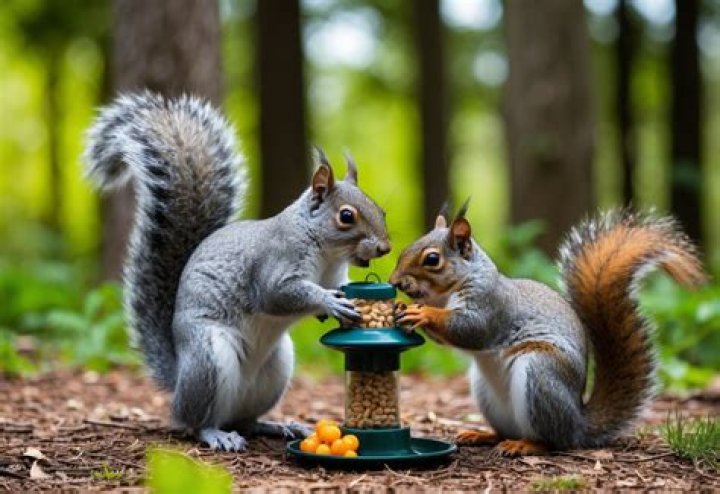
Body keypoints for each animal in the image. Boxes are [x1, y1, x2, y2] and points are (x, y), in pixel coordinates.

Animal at [84, 91, 391, 451]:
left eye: (380, 210)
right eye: (346, 216)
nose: (385, 248)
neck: (328, 254)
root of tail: (178, 378)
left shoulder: (335, 274)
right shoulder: (275, 264)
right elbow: (278, 295)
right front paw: (329, 302)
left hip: (275, 369)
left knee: (246, 420)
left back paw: (277, 426)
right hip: (208, 359)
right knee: (196, 421)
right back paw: (215, 434)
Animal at [391, 204, 706, 456]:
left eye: (432, 259)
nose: (395, 282)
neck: (445, 294)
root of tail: (578, 423)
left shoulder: (490, 306)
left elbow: (470, 329)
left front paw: (423, 313)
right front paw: (402, 307)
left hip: (540, 373)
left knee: (554, 441)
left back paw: (526, 445)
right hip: (485, 390)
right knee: (507, 431)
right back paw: (482, 435)